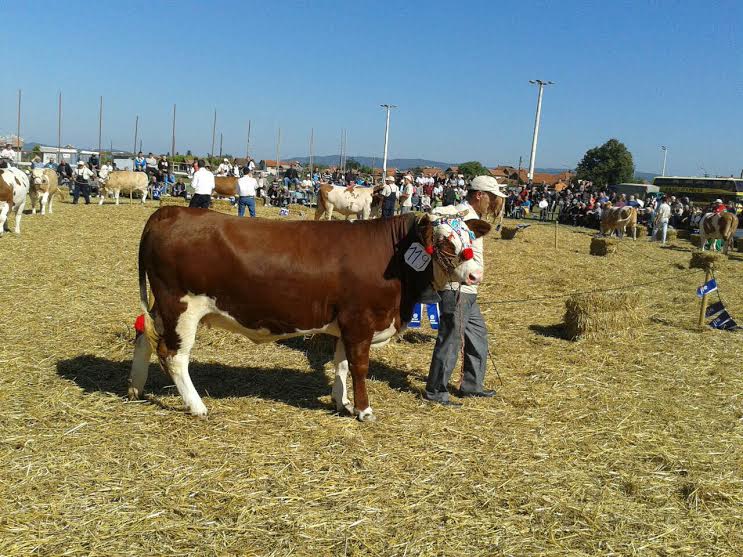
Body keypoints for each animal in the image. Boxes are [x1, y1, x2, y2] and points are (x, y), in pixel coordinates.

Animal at [131, 206, 492, 420]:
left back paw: (136, 387)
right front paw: (364, 410)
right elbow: (359, 367)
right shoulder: (360, 320)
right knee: (173, 355)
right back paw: (197, 406)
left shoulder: (346, 324)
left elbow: (341, 364)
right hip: (181, 306)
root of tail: (170, 211)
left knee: (144, 334)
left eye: (470, 238)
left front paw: (341, 402)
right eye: (445, 243)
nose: (475, 275)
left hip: (163, 306)